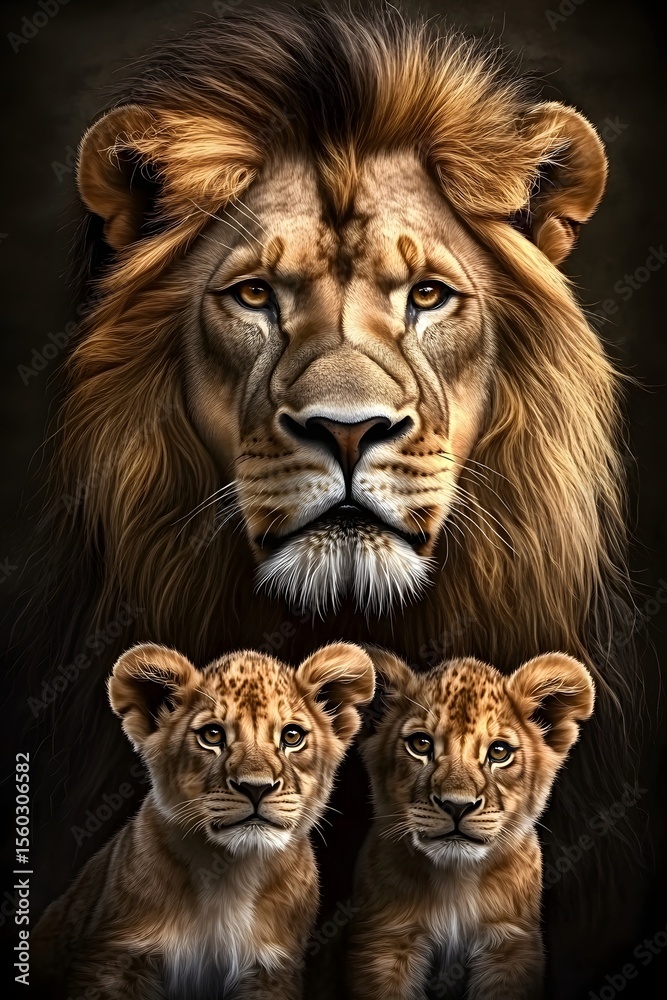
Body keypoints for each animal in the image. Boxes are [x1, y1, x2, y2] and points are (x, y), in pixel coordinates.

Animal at [32, 640, 375, 998]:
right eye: (212, 735)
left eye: (292, 737)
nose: (256, 787)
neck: (231, 874)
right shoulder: (114, 959)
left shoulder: (271, 972)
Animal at [347, 649, 595, 1000]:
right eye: (420, 744)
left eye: (499, 752)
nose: (457, 805)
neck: (456, 878)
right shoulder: (384, 940)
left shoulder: (510, 944)